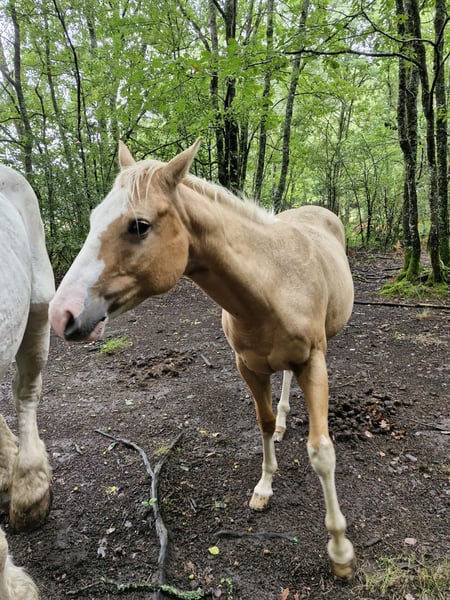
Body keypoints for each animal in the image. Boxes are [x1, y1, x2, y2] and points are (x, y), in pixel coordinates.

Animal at [49, 140, 356, 578]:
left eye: (139, 225)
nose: (61, 315)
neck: (273, 286)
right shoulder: (248, 367)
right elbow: (263, 424)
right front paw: (265, 486)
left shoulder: (314, 363)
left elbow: (322, 451)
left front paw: (341, 551)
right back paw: (283, 421)